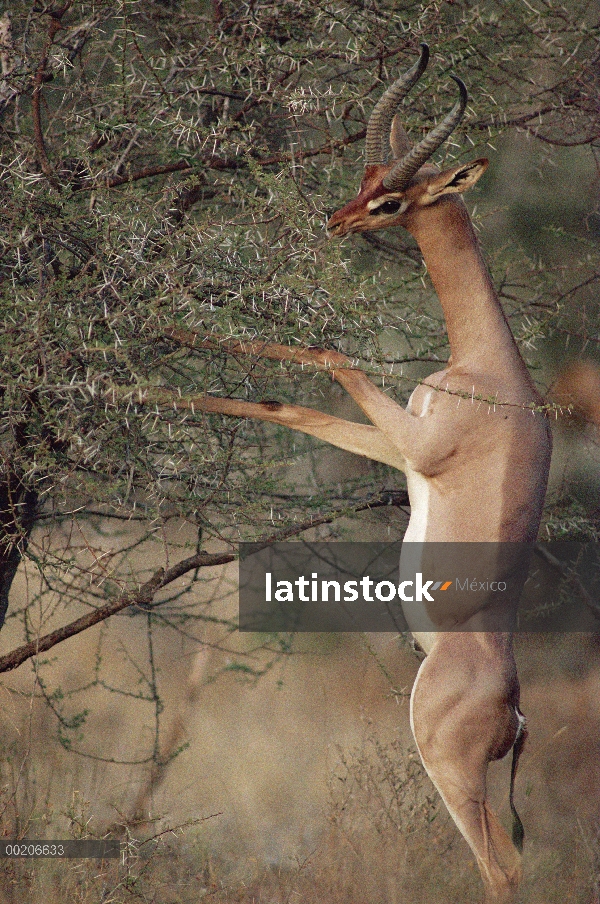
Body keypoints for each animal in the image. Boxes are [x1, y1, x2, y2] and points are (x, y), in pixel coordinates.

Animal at [161, 44, 552, 904]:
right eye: (366, 175)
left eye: (393, 198)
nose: (336, 221)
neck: (488, 370)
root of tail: (514, 709)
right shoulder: (397, 450)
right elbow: (289, 405)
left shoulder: (419, 446)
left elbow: (330, 354)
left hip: (446, 764)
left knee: (503, 867)